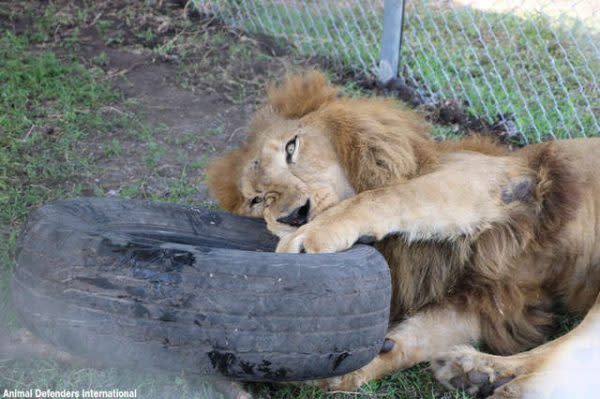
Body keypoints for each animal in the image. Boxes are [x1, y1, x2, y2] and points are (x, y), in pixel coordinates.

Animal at [206, 71, 600, 396]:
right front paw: (328, 363)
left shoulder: (498, 179)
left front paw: (311, 237)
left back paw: (484, 375)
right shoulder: (479, 299)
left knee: (555, 359)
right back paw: (474, 373)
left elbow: (392, 196)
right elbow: (413, 338)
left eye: (292, 148)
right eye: (257, 200)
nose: (294, 214)